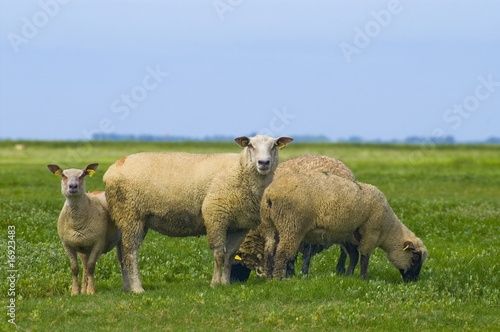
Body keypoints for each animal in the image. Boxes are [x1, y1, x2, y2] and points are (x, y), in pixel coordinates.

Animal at [47, 163, 122, 296]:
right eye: (63, 175)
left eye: (82, 175)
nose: (73, 186)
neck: (77, 222)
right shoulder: (67, 244)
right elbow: (75, 268)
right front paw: (75, 292)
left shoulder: (98, 242)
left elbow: (92, 267)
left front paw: (91, 291)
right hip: (84, 247)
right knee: (85, 265)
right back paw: (83, 289)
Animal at [104, 134, 294, 292]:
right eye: (251, 145)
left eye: (274, 145)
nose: (264, 163)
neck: (241, 170)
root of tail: (111, 170)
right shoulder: (215, 215)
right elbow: (219, 253)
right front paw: (215, 284)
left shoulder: (239, 226)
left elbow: (229, 255)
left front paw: (226, 283)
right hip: (131, 213)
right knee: (130, 252)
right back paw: (137, 288)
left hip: (131, 218)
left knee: (122, 252)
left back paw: (127, 287)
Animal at [260, 156, 428, 282]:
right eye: (415, 257)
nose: (413, 281)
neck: (389, 229)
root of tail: (270, 195)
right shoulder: (370, 233)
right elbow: (364, 256)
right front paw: (364, 278)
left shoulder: (348, 235)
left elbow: (353, 256)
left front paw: (348, 275)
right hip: (292, 226)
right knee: (282, 253)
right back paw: (279, 278)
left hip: (270, 225)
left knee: (269, 251)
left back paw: (268, 276)